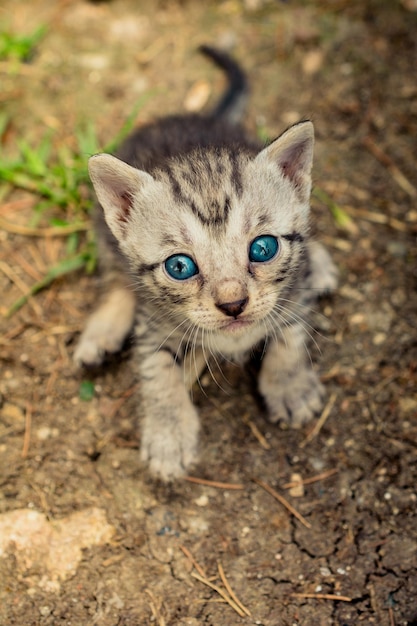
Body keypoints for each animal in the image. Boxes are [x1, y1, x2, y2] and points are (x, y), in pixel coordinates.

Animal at [74, 45, 334, 478]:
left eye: (263, 248)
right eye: (179, 267)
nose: (233, 305)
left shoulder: (295, 291)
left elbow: (292, 331)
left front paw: (290, 384)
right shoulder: (153, 323)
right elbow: (156, 369)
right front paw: (168, 434)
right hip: (103, 231)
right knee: (117, 281)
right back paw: (102, 334)